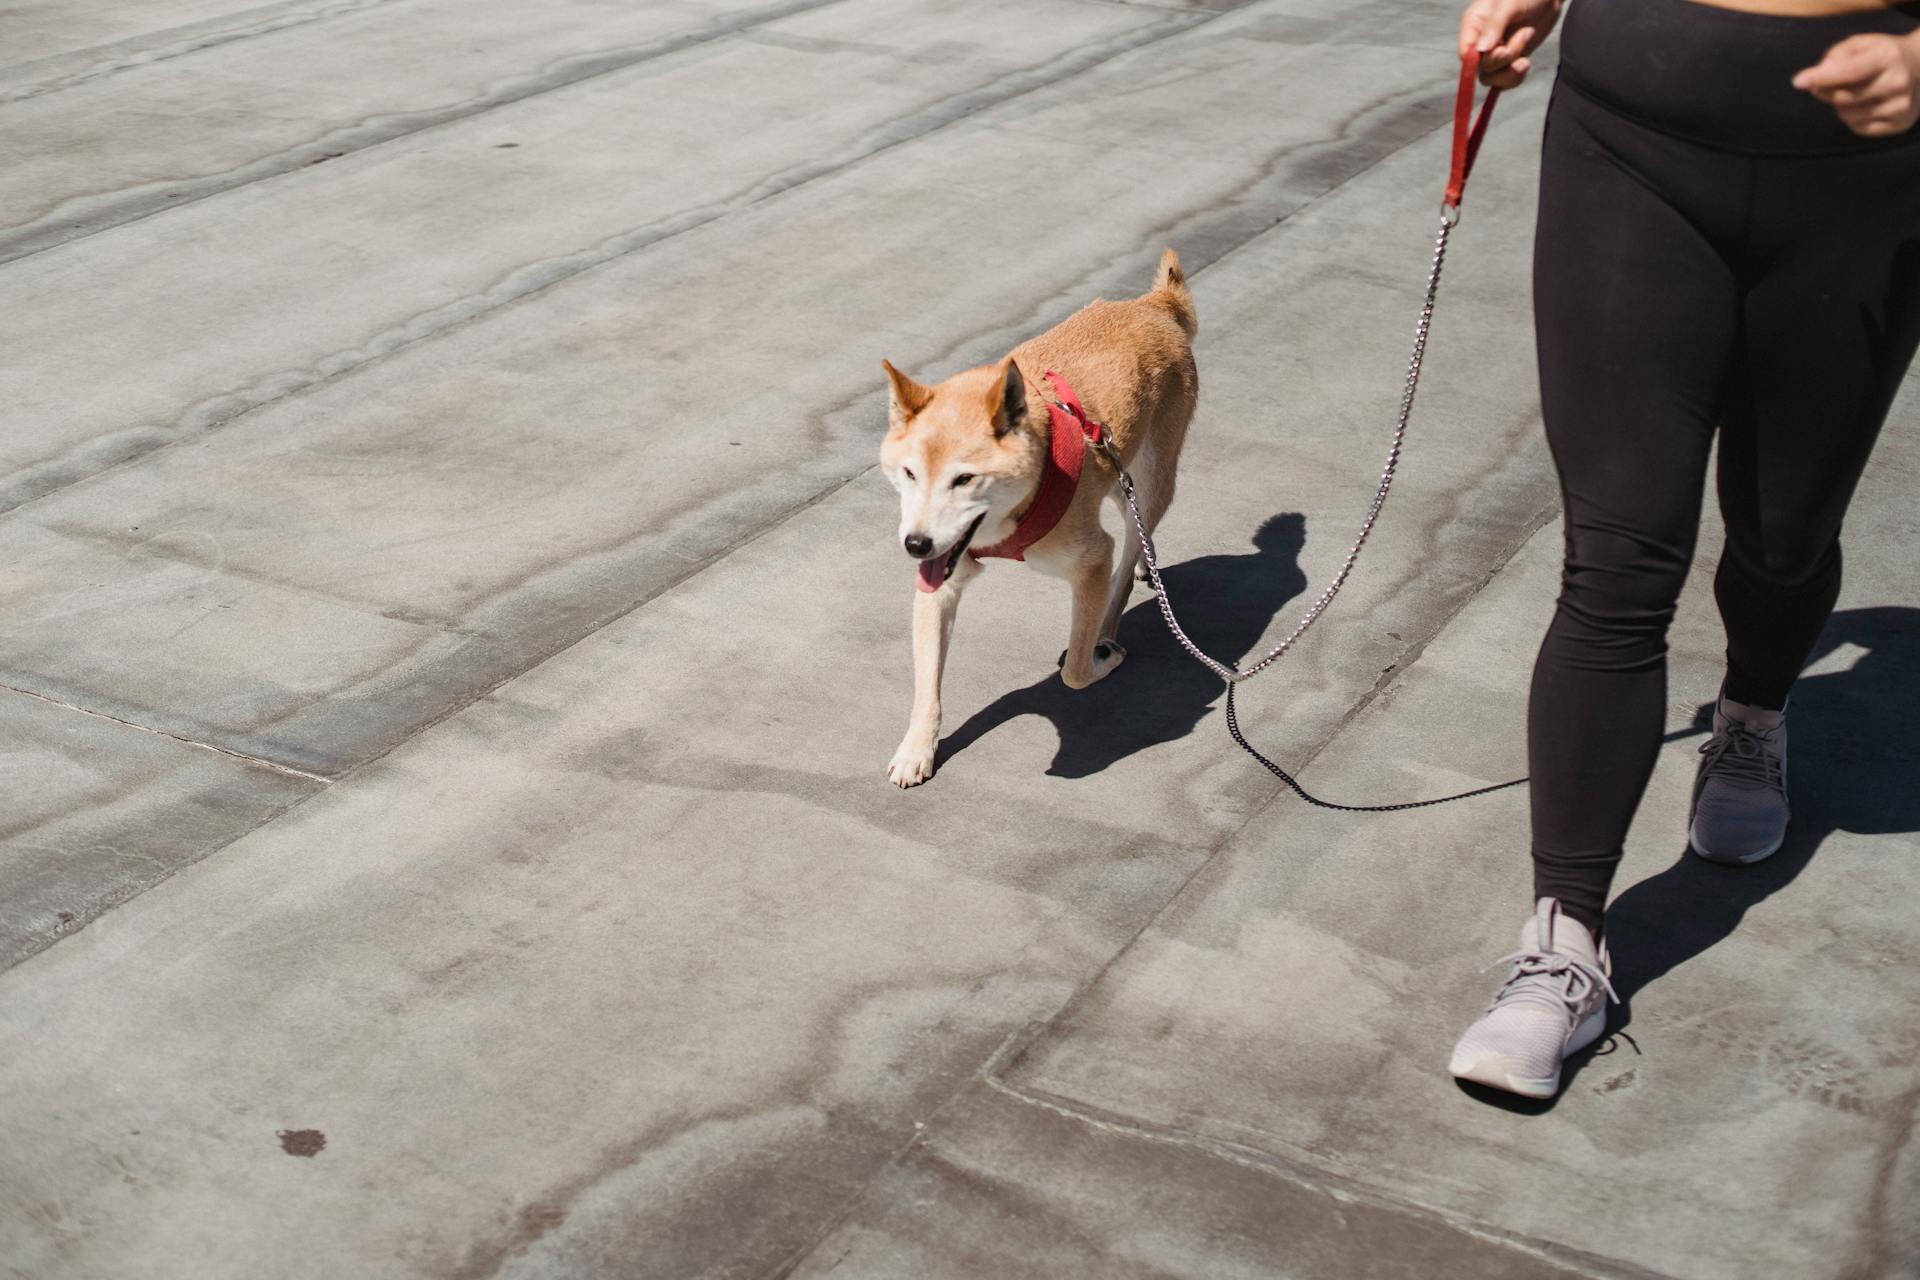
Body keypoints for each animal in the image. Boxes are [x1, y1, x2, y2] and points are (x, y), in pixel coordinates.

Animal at [875, 247, 1198, 790]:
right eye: (909, 473)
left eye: (965, 480)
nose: (916, 544)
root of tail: (1152, 304)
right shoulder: (940, 580)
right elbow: (927, 686)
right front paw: (917, 749)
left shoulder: (1092, 557)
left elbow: (1075, 674)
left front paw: (1098, 657)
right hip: (1120, 473)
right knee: (1132, 522)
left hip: (1153, 480)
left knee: (1127, 555)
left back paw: (1110, 624)